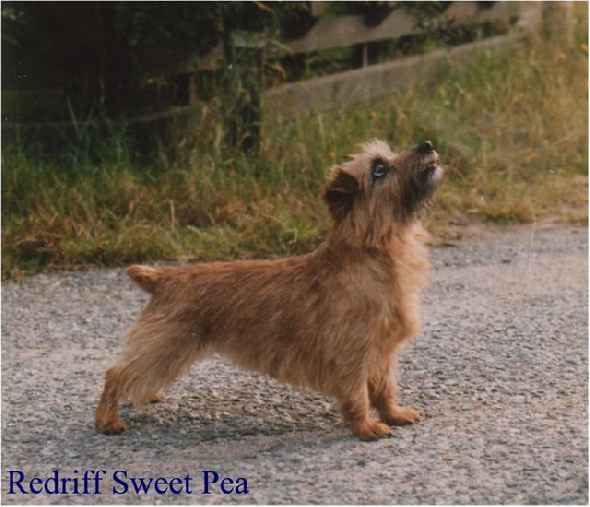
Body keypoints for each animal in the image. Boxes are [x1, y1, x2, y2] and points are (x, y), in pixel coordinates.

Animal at [96, 140, 444, 440]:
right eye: (379, 169)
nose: (426, 144)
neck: (378, 251)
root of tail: (163, 277)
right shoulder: (352, 353)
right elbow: (358, 393)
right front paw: (366, 427)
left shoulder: (382, 350)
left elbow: (384, 388)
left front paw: (394, 414)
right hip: (165, 345)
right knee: (115, 373)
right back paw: (107, 420)